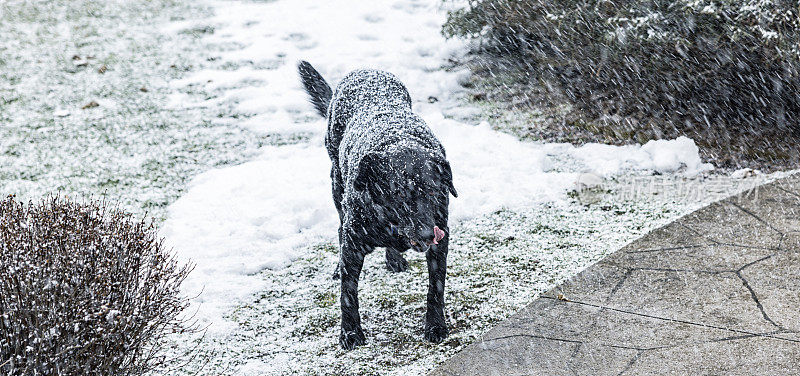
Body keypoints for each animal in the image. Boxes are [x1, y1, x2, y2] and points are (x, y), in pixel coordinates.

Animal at [296, 61, 456, 350]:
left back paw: (394, 258)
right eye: (400, 193)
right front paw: (350, 333)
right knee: (339, 228)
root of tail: (363, 70)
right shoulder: (353, 243)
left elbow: (435, 287)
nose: (428, 234)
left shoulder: (443, 238)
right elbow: (348, 294)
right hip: (337, 185)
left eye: (434, 190)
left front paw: (435, 325)